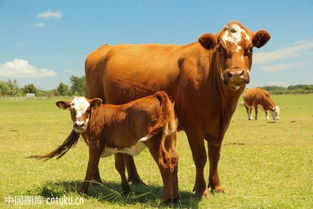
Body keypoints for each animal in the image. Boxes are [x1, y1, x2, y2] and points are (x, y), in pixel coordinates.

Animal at [31, 91, 179, 202]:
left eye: (88, 109)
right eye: (71, 110)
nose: (79, 125)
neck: (95, 117)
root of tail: (155, 95)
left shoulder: (95, 144)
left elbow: (91, 165)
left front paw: (82, 190)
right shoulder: (118, 147)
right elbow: (120, 167)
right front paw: (126, 190)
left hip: (154, 143)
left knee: (164, 165)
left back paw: (166, 200)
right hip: (170, 139)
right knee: (174, 161)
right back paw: (175, 197)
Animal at [84, 20, 270, 197]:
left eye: (250, 48)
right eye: (220, 49)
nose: (236, 74)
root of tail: (105, 48)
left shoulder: (220, 126)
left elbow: (215, 156)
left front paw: (216, 186)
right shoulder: (193, 124)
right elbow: (200, 157)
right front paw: (201, 189)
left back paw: (136, 179)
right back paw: (96, 180)